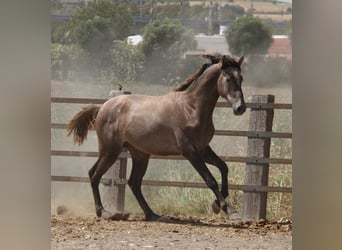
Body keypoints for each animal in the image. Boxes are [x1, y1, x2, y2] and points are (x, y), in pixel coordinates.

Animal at [67, 54, 246, 221]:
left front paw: (216, 205)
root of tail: (103, 107)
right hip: (110, 151)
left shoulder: (203, 149)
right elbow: (210, 179)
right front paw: (230, 210)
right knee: (95, 175)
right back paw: (104, 212)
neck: (191, 108)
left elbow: (223, 167)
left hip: (139, 154)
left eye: (241, 78)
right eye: (228, 78)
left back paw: (152, 214)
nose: (240, 108)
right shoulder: (190, 151)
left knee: (133, 182)